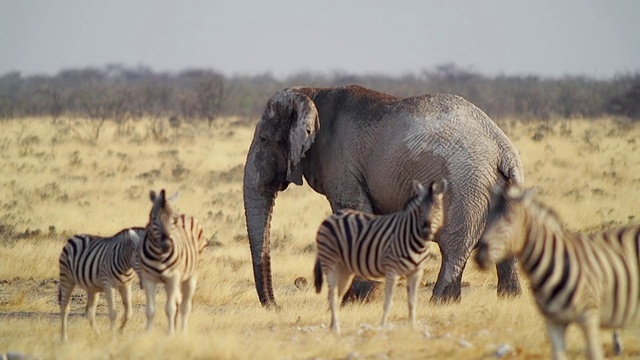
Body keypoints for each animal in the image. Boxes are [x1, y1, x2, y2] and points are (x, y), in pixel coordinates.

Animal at [138, 188, 208, 334]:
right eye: (153, 218)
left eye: (173, 221)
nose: (167, 245)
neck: (159, 256)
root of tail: (185, 215)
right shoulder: (148, 279)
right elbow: (150, 310)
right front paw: (148, 333)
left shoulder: (172, 277)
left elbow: (170, 308)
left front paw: (170, 334)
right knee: (179, 300)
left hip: (191, 275)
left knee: (185, 305)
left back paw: (183, 332)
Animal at [242, 83, 524, 306]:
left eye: (264, 139)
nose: (276, 307)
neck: (312, 93)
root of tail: (504, 150)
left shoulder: (341, 164)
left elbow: (353, 211)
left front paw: (355, 301)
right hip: (499, 187)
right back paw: (509, 299)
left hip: (465, 186)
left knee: (453, 245)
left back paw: (440, 302)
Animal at [314, 180, 444, 334]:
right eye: (420, 210)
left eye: (438, 208)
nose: (426, 232)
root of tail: (329, 218)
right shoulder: (392, 270)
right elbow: (388, 301)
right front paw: (383, 326)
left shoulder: (416, 272)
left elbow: (412, 301)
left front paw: (412, 327)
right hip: (331, 263)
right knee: (332, 295)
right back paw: (336, 329)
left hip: (345, 269)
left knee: (336, 295)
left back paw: (333, 327)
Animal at [472, 186, 636, 360]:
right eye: (487, 221)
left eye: (510, 219)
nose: (480, 257)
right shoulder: (554, 322)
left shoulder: (588, 316)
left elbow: (594, 352)